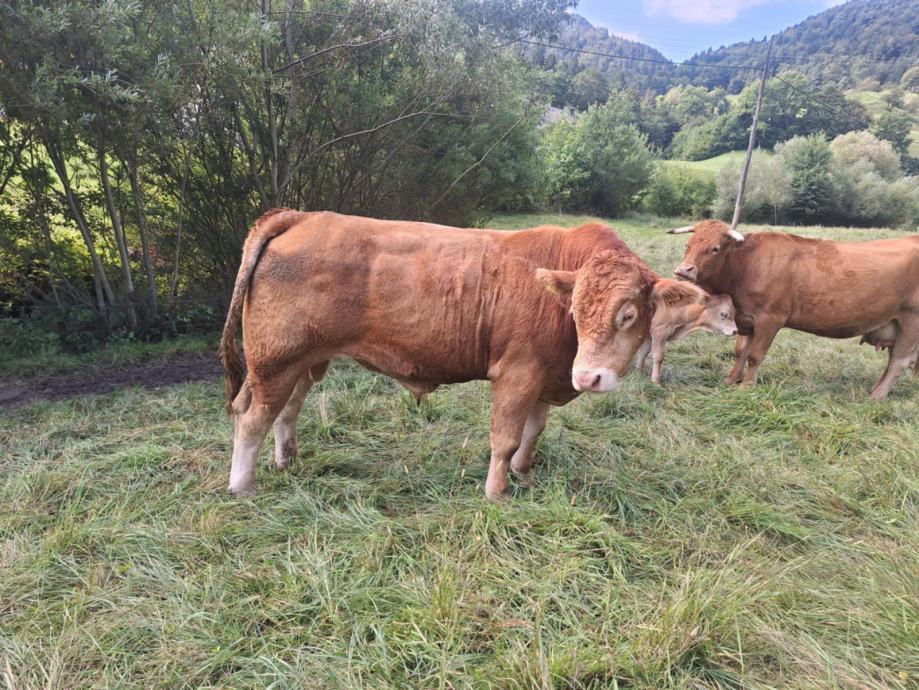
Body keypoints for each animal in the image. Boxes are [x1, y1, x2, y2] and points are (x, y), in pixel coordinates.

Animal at [219, 210, 665, 501]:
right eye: (576, 309)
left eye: (628, 315)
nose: (588, 377)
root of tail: (301, 215)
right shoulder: (518, 372)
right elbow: (505, 437)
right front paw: (497, 492)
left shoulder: (546, 373)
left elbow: (533, 431)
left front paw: (524, 475)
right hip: (274, 361)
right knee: (254, 418)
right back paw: (243, 486)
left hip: (303, 360)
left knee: (288, 410)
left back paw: (287, 460)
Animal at [670, 220, 919, 399]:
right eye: (687, 245)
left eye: (715, 248)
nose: (684, 270)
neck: (747, 265)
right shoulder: (746, 319)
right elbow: (741, 351)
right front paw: (731, 381)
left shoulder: (770, 319)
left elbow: (755, 355)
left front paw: (746, 387)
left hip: (911, 322)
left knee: (899, 362)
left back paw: (876, 396)